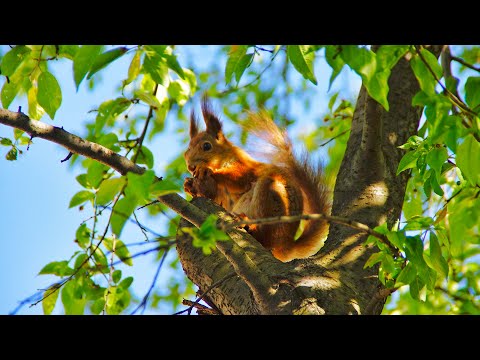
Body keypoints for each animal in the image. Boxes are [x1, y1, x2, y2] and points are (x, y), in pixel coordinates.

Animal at [184, 97, 330, 262]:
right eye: (186, 152)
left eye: (207, 146)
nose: (191, 167)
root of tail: (284, 246)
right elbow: (213, 197)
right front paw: (189, 185)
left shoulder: (246, 168)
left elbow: (239, 178)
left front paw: (207, 170)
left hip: (271, 198)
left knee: (265, 236)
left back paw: (250, 226)